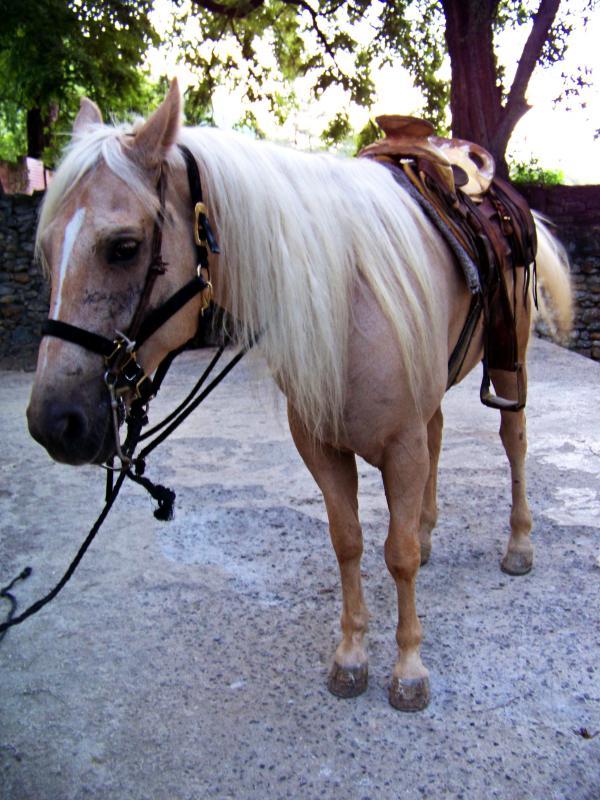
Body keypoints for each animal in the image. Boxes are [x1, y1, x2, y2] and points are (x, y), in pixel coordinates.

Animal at [26, 79, 572, 711]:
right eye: (46, 248)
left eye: (123, 246)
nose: (53, 422)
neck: (347, 300)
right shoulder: (320, 444)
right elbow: (350, 542)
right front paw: (352, 656)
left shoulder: (401, 446)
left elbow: (398, 555)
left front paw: (409, 668)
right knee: (438, 440)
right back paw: (431, 529)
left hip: (511, 365)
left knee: (514, 441)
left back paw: (519, 545)